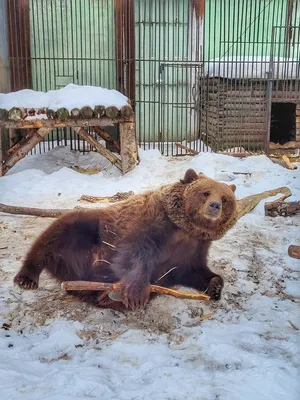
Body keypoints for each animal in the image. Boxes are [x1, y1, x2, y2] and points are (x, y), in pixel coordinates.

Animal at [13, 169, 237, 310]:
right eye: (205, 192)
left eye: (225, 198)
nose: (215, 205)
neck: (184, 229)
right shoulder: (150, 224)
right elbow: (135, 253)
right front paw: (136, 294)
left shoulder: (193, 249)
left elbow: (194, 271)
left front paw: (215, 286)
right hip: (85, 228)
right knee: (52, 238)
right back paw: (27, 278)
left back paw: (105, 297)